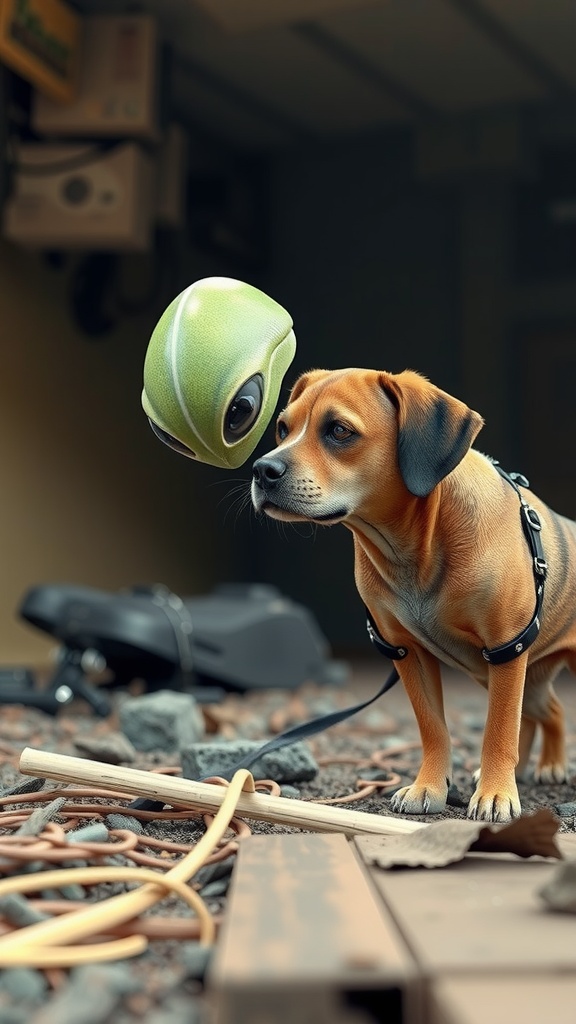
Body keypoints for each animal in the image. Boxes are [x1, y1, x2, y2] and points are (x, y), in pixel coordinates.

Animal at [250, 368, 573, 823]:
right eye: (282, 428)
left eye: (339, 430)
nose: (262, 469)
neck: (416, 548)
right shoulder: (406, 650)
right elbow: (434, 728)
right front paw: (430, 788)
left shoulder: (506, 649)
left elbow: (498, 731)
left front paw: (495, 794)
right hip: (515, 674)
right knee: (547, 711)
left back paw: (547, 766)